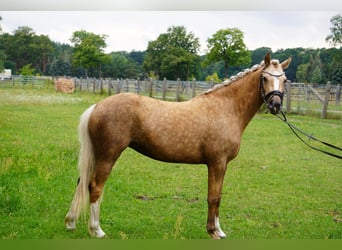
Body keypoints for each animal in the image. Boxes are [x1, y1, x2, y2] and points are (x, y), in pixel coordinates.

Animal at [65, 54, 292, 238]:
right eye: (265, 78)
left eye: (284, 80)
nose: (275, 105)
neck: (226, 108)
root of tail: (97, 106)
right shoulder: (217, 163)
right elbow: (214, 197)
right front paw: (214, 231)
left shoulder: (220, 164)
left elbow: (217, 196)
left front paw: (216, 229)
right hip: (108, 155)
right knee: (95, 187)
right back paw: (96, 230)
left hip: (97, 156)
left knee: (82, 183)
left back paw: (71, 222)